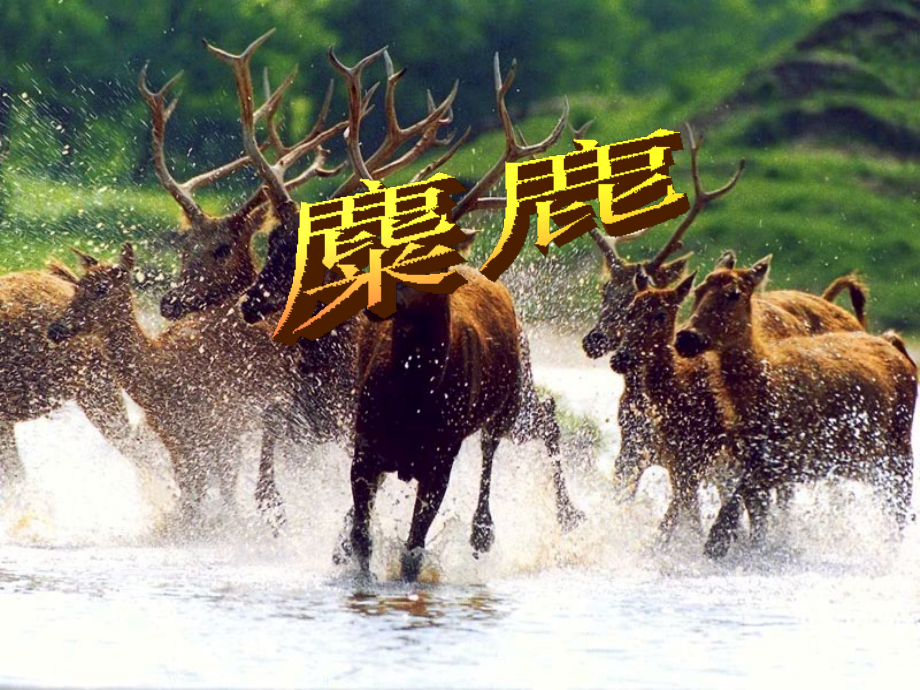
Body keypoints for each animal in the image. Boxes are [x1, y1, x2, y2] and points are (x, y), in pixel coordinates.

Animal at [46, 244, 298, 527]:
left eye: (102, 288)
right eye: (77, 286)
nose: (55, 329)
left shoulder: (220, 425)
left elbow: (216, 490)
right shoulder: (176, 438)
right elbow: (193, 494)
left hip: (275, 398)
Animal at [674, 256, 916, 558]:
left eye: (734, 293)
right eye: (698, 290)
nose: (686, 337)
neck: (761, 388)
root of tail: (896, 346)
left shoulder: (789, 459)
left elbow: (738, 504)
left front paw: (715, 544)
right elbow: (755, 516)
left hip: (898, 454)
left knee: (899, 510)